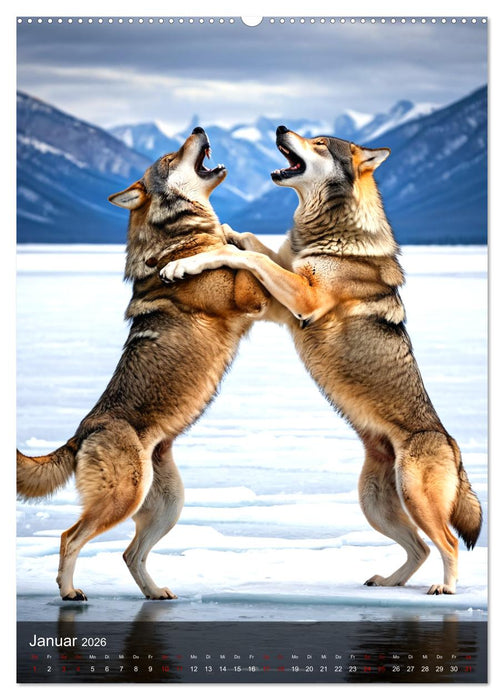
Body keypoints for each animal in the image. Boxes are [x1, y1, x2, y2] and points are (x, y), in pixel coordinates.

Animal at [17, 127, 270, 600]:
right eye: (170, 157)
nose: (199, 128)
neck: (179, 238)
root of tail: (82, 433)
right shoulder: (247, 298)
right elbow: (245, 260)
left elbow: (240, 245)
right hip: (122, 500)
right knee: (69, 537)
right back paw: (69, 592)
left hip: (168, 506)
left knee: (129, 554)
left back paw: (155, 593)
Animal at [160, 125, 482, 594]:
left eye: (319, 143)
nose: (280, 128)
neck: (327, 232)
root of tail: (452, 445)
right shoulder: (285, 300)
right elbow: (251, 243)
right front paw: (212, 238)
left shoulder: (303, 300)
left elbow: (247, 255)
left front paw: (192, 259)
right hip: (374, 503)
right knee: (420, 548)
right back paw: (388, 581)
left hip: (416, 498)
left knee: (448, 542)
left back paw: (445, 589)